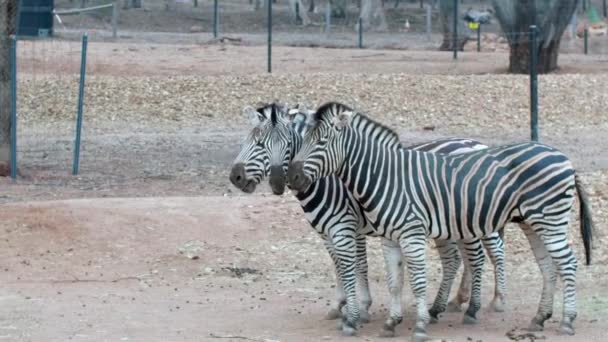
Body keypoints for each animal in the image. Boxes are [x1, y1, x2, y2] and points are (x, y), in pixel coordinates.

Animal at [230, 102, 506, 336]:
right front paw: (342, 306)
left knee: (488, 254)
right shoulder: (330, 232)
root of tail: (477, 144)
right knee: (459, 259)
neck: (329, 180)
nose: (235, 177)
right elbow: (342, 266)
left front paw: (358, 311)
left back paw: (491, 303)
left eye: (262, 145)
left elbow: (354, 266)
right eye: (249, 141)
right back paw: (452, 303)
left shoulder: (346, 227)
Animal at [288, 102, 596, 342]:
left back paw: (566, 320)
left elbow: (417, 282)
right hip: (532, 223)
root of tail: (565, 158)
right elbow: (394, 283)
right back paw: (540, 318)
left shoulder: (410, 234)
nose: (292, 177)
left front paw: (420, 325)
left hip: (549, 219)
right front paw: (390, 323)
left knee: (567, 263)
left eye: (322, 142)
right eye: (301, 141)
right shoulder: (389, 239)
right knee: (548, 267)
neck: (383, 175)